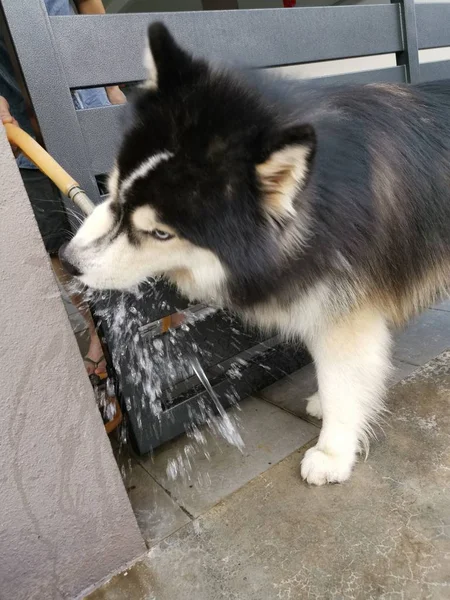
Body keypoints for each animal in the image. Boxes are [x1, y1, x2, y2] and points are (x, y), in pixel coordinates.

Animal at [60, 22, 450, 488]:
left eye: (160, 233)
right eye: (115, 187)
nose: (68, 261)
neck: (318, 203)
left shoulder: (345, 311)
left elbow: (342, 377)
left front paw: (333, 450)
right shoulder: (320, 295)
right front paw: (328, 404)